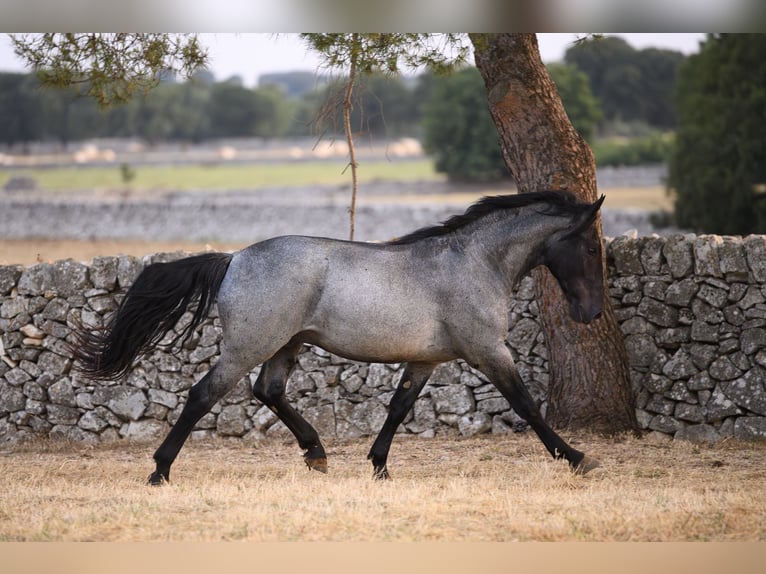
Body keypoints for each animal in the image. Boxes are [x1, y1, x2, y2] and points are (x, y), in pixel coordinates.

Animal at [72, 190, 606, 484]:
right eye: (590, 247)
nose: (591, 312)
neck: (472, 261)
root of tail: (234, 258)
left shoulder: (425, 360)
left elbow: (398, 407)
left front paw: (379, 467)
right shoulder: (488, 352)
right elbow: (526, 404)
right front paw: (578, 458)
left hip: (288, 344)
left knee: (268, 391)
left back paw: (316, 453)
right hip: (250, 345)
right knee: (204, 394)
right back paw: (160, 472)